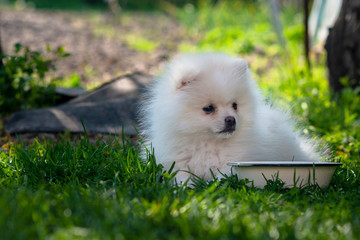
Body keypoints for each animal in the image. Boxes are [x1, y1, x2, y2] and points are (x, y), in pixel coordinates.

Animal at [139, 53, 322, 184]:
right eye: (209, 108)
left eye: (235, 105)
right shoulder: (177, 163)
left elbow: (222, 176)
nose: (231, 119)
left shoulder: (235, 162)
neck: (208, 144)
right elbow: (182, 178)